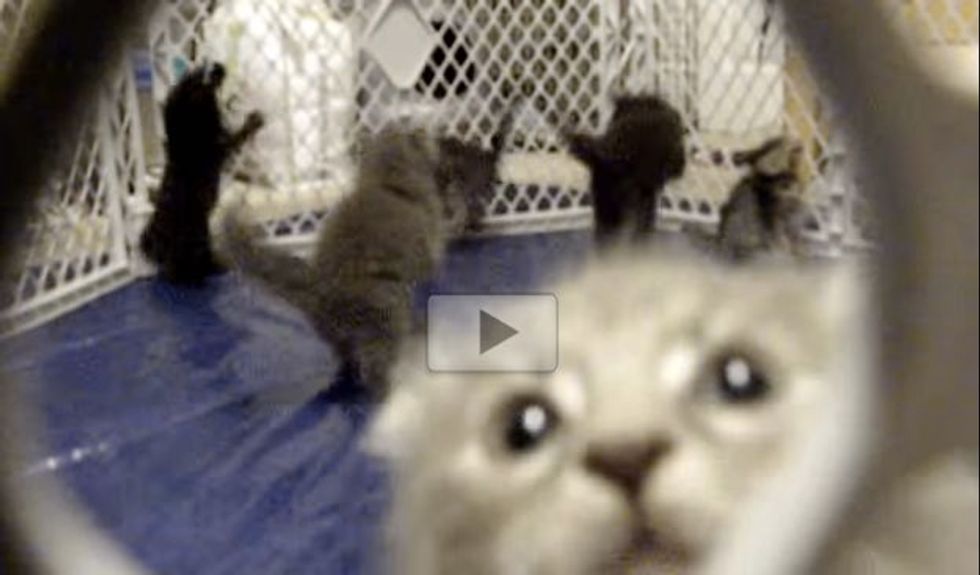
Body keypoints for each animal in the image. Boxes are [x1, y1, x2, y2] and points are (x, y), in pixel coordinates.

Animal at [138, 62, 266, 286]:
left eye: (193, 73)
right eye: (200, 80)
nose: (218, 66)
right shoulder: (219, 148)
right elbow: (237, 136)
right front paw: (252, 121)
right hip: (196, 234)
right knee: (183, 266)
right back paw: (203, 271)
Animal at [219, 124, 510, 398]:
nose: (432, 134)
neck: (388, 185)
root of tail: (316, 289)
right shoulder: (426, 250)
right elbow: (429, 269)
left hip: (338, 333)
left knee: (345, 359)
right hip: (386, 309)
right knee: (375, 368)